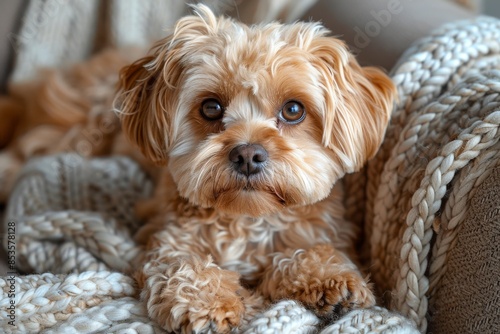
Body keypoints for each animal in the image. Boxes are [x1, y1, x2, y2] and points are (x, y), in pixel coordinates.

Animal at [115, 5, 396, 334]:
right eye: (211, 107)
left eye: (293, 110)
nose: (247, 155)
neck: (249, 220)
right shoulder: (167, 239)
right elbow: (184, 264)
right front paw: (207, 302)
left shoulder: (325, 231)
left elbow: (308, 251)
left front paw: (331, 276)